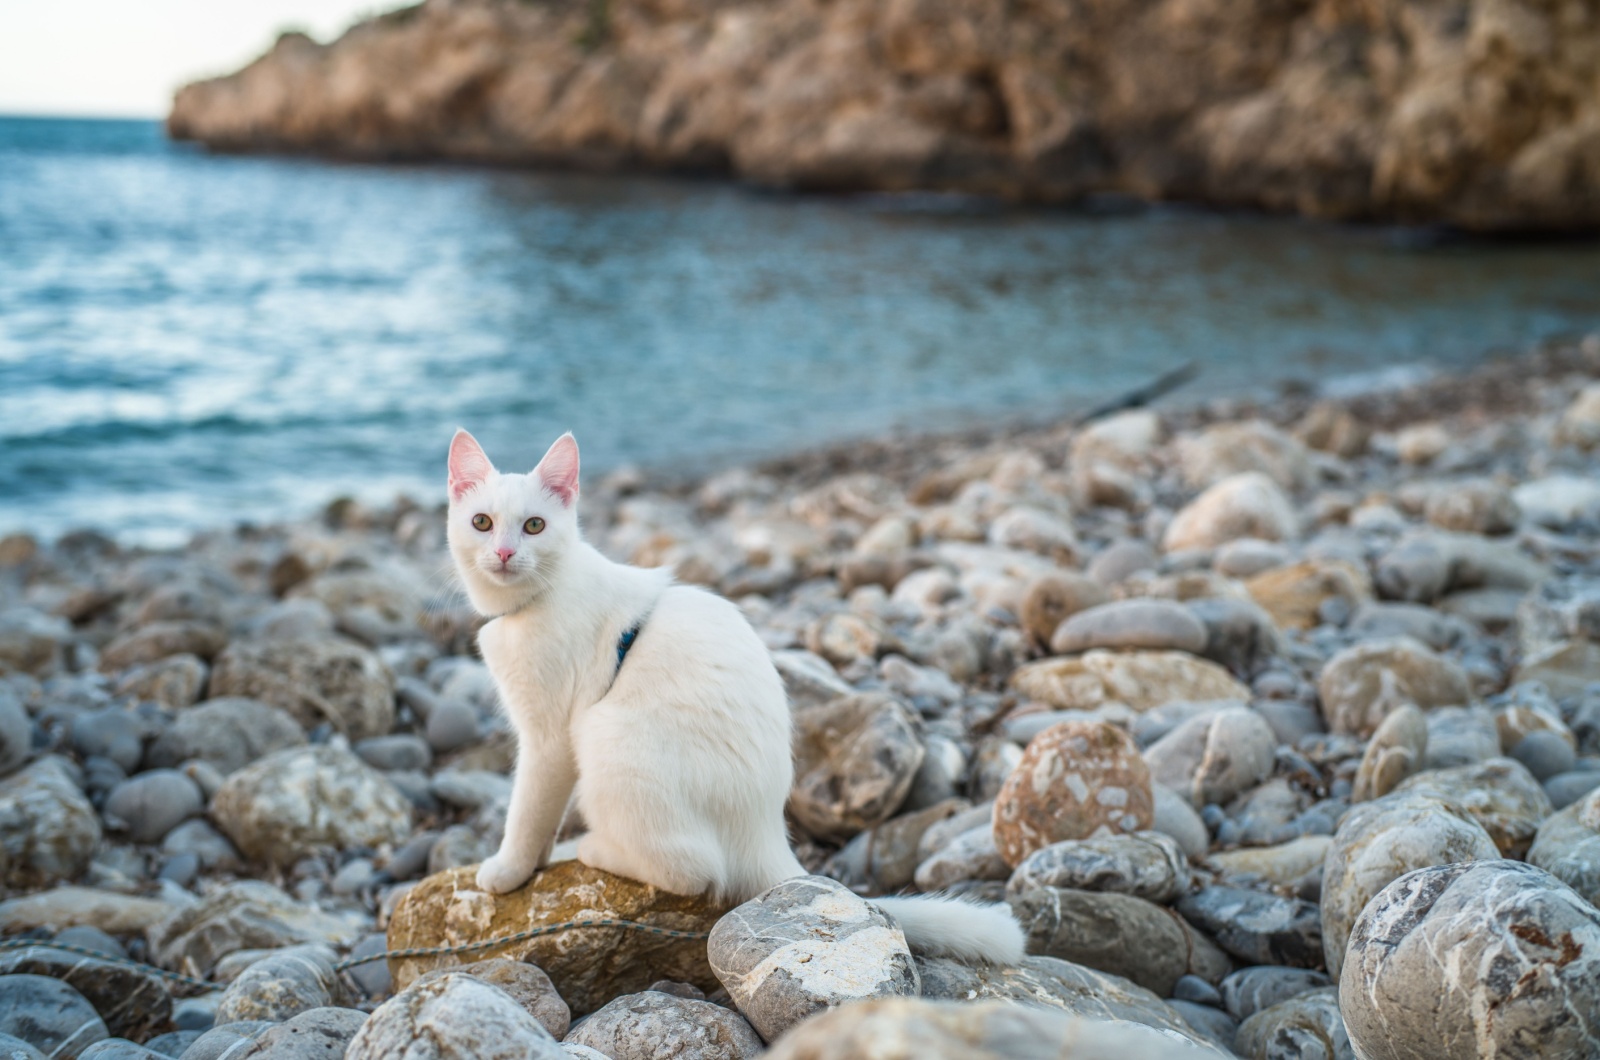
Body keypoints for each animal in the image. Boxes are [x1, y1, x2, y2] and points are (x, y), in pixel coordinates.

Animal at [451, 429, 1024, 967]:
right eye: (481, 523)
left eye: (534, 526)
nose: (504, 553)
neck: (536, 601)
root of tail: (767, 832)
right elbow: (539, 814)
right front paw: (534, 857)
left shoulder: (548, 738)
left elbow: (527, 808)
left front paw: (509, 869)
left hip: (609, 739)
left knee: (694, 871)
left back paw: (594, 848)